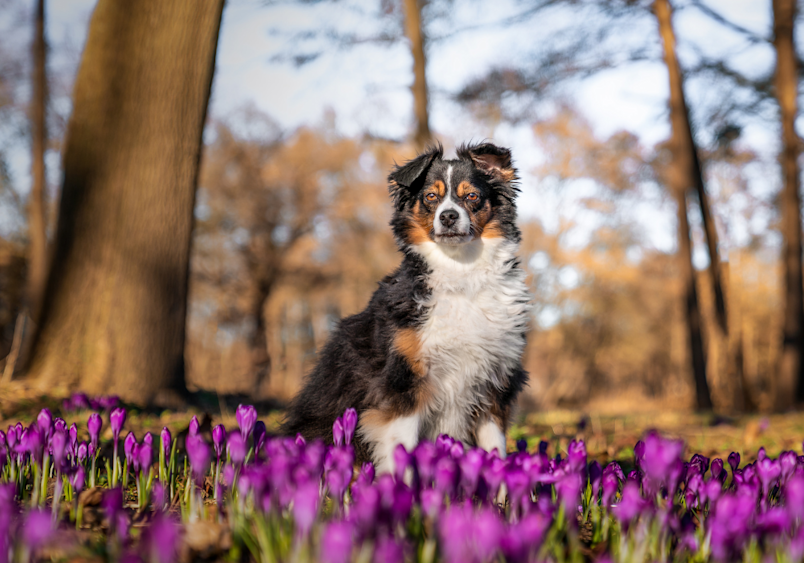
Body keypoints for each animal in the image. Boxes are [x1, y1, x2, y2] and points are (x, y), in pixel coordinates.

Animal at [280, 143, 532, 474]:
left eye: (472, 196)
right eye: (431, 197)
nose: (448, 217)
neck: (461, 273)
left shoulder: (494, 385)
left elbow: (496, 452)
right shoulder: (403, 382)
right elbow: (403, 451)